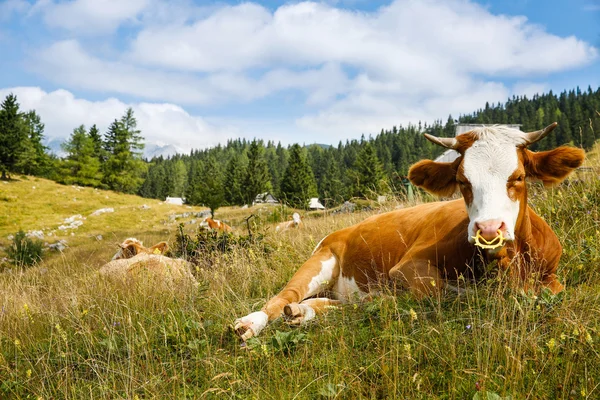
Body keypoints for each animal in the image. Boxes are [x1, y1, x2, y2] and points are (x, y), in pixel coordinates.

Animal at [234, 122, 584, 340]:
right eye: (462, 180)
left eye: (519, 177)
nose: (488, 228)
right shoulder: (406, 268)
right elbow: (438, 294)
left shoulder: (552, 278)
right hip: (319, 261)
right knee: (283, 297)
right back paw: (250, 323)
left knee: (331, 304)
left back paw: (303, 312)